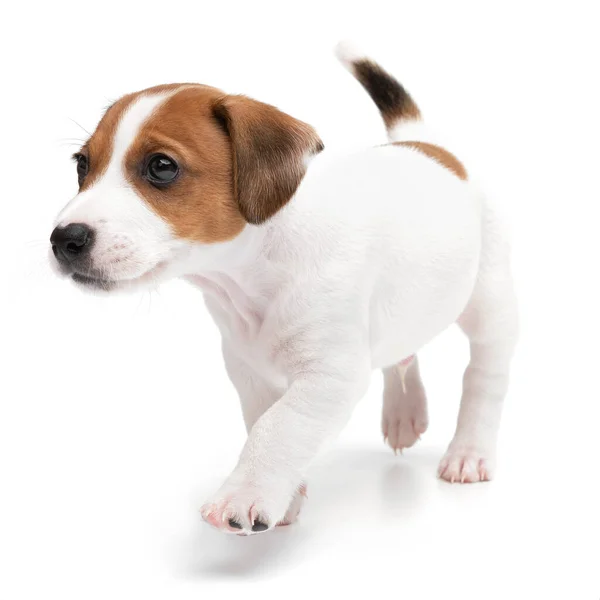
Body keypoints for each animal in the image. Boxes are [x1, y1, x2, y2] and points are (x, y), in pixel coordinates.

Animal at [49, 44, 516, 536]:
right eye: (82, 165)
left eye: (161, 166)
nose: (63, 240)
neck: (254, 274)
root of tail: (428, 145)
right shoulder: (249, 371)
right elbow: (263, 421)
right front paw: (286, 495)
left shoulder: (330, 376)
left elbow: (280, 428)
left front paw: (244, 495)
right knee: (400, 351)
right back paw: (404, 411)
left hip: (490, 301)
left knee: (484, 377)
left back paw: (469, 452)